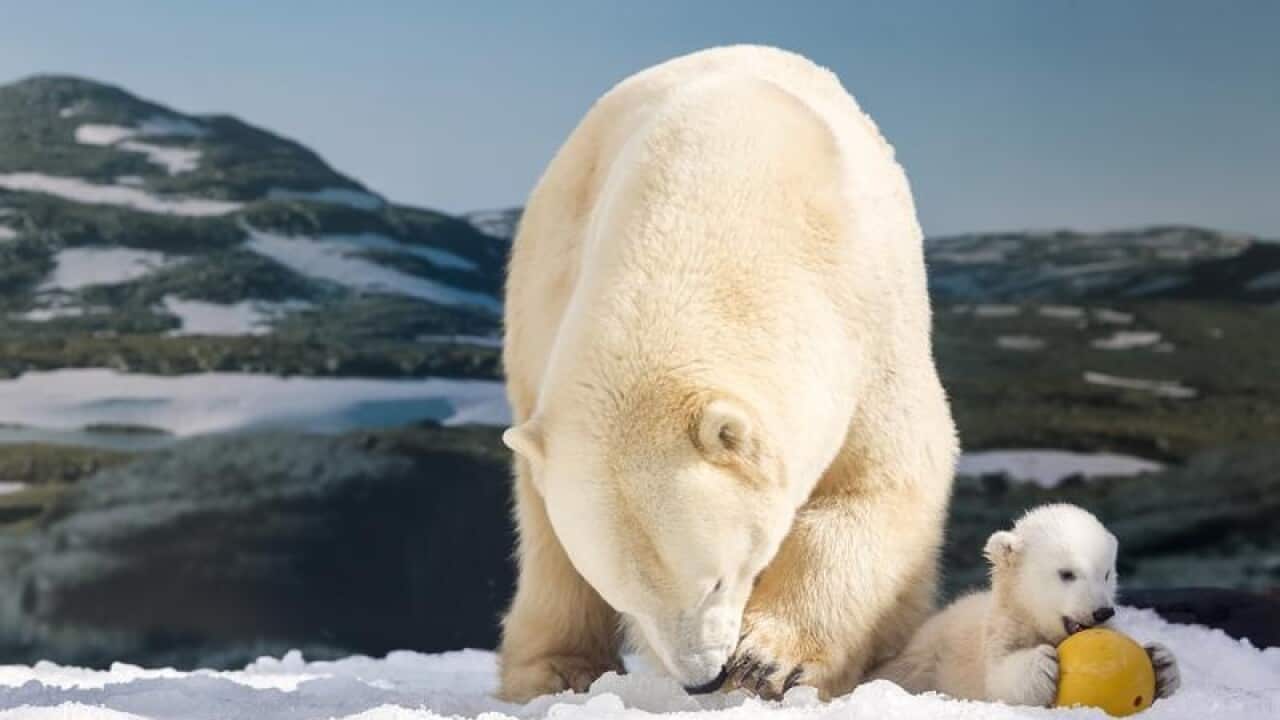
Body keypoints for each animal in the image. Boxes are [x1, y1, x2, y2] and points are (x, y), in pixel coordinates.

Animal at [497, 45, 957, 702]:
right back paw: (551, 670)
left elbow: (880, 478)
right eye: (628, 597)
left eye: (715, 580)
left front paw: (771, 660)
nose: (701, 678)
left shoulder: (869, 318)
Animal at [871, 503, 1181, 706]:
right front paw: (1041, 665)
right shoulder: (1001, 633)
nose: (1102, 611)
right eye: (1067, 573)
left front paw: (1161, 661)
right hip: (923, 660)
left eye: (1106, 573)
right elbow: (999, 679)